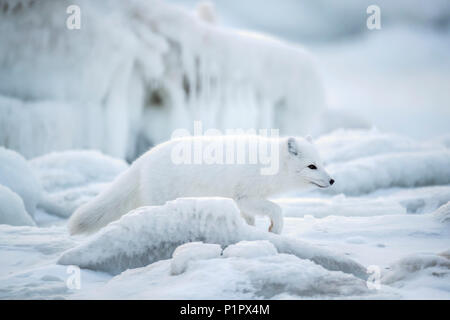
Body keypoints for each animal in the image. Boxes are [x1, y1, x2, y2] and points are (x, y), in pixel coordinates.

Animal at [67, 135, 334, 235]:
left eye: (322, 163)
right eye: (312, 166)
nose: (332, 180)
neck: (271, 164)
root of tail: (144, 158)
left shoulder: (243, 202)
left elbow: (249, 219)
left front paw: (252, 232)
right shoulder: (245, 196)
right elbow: (276, 209)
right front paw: (274, 229)